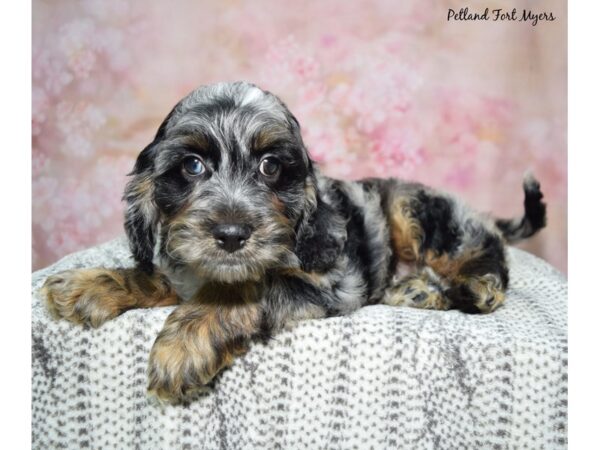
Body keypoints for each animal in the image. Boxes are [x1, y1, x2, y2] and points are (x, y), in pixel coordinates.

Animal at [42, 80, 548, 400]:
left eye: (270, 166)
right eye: (192, 166)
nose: (231, 235)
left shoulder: (332, 284)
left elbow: (248, 286)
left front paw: (183, 343)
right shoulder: (187, 267)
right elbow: (157, 276)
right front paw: (90, 284)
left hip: (417, 210)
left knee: (486, 255)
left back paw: (473, 287)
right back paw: (420, 290)